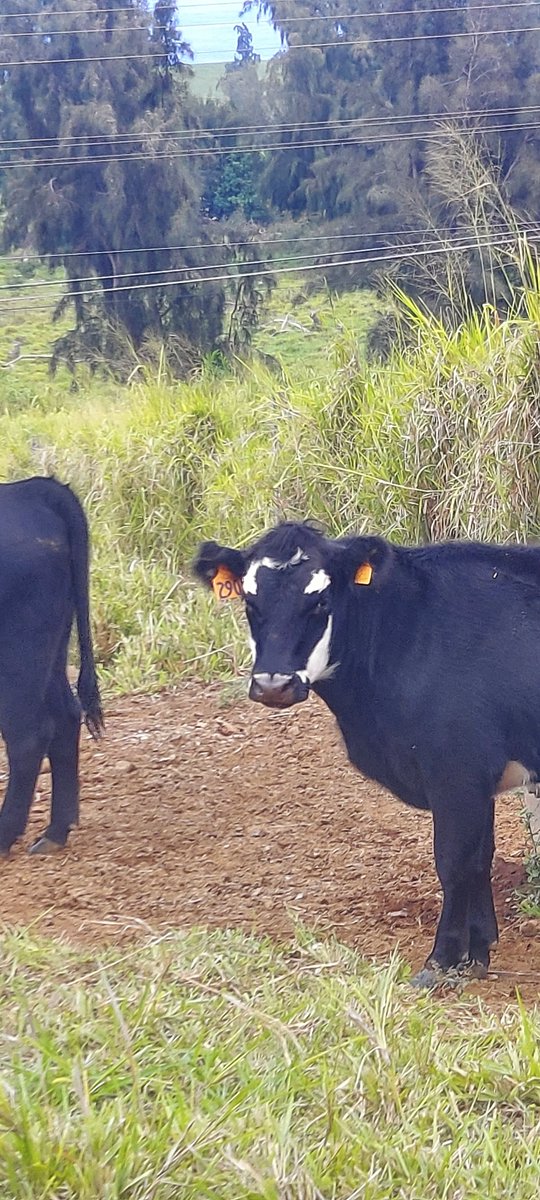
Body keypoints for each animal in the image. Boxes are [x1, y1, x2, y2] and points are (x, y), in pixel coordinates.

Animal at [0, 476, 102, 857]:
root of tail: (29, 488)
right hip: (53, 651)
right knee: (66, 716)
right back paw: (56, 830)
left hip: (18, 654)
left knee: (28, 736)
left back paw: (5, 835)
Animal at [195, 521, 540, 987]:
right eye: (250, 601)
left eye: (321, 600)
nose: (273, 686)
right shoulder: (477, 778)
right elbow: (479, 859)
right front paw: (479, 950)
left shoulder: (456, 771)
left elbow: (453, 862)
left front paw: (441, 961)